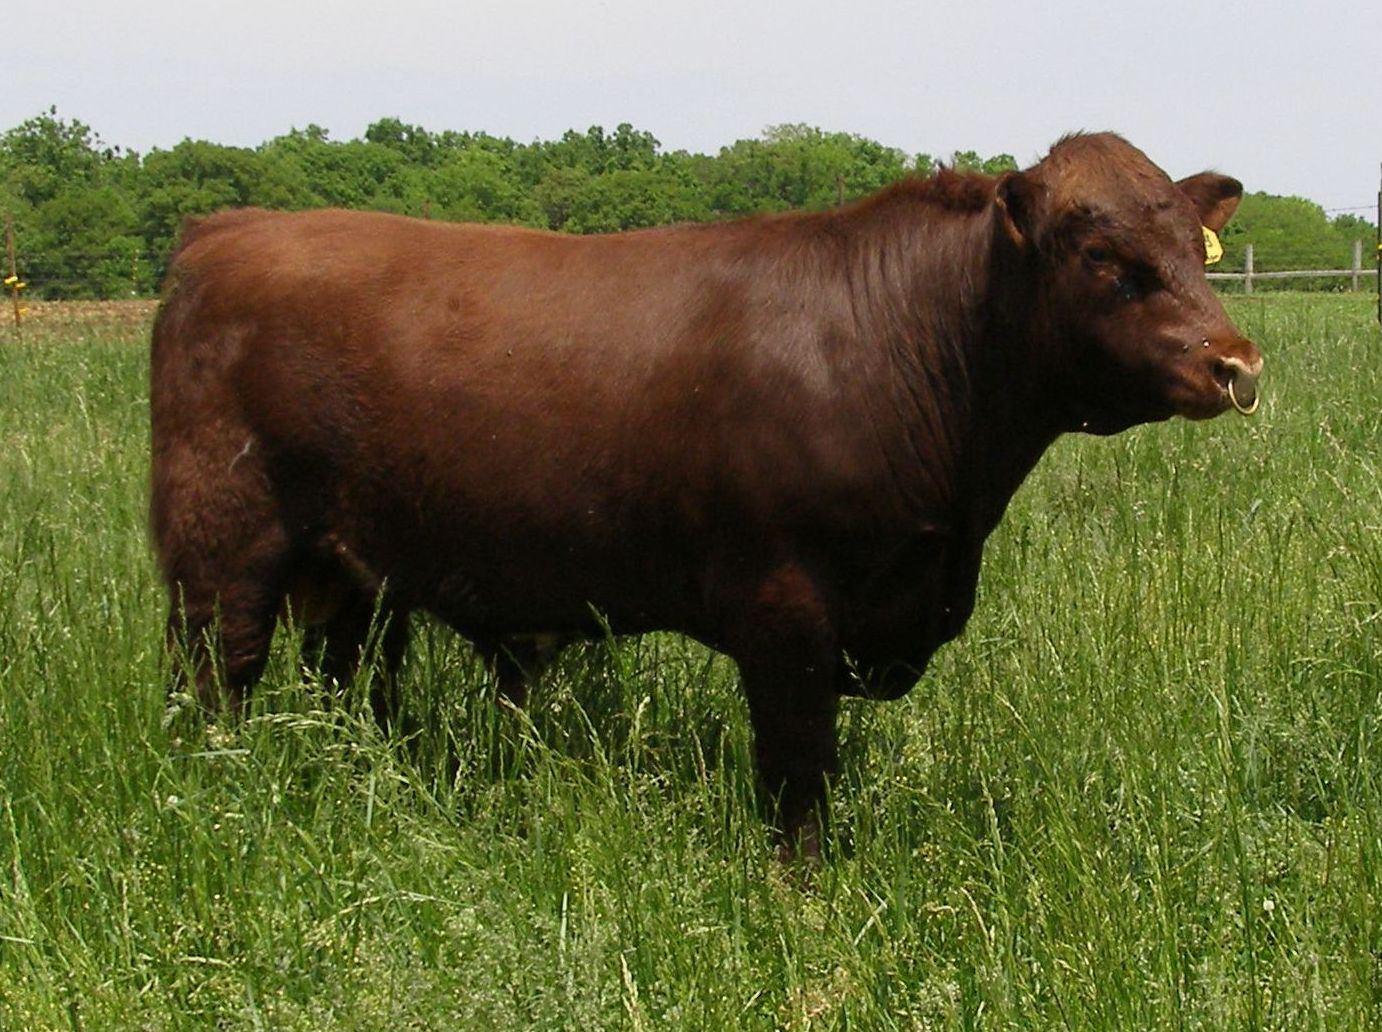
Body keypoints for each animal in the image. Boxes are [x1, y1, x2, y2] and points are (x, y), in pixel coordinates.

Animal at [150, 132, 1262, 859]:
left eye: (1189, 246)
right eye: (1101, 255)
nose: (1235, 363)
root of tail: (227, 226)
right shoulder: (785, 611)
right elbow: (798, 776)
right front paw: (804, 903)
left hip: (354, 573)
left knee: (348, 690)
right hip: (221, 545)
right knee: (215, 680)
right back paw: (217, 800)